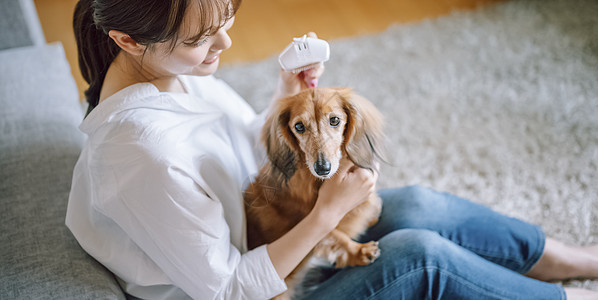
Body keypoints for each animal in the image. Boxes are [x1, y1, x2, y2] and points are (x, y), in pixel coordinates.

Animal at [246, 86, 386, 298]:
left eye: (334, 120)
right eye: (299, 126)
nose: (322, 168)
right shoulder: (307, 219)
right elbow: (334, 234)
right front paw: (359, 251)